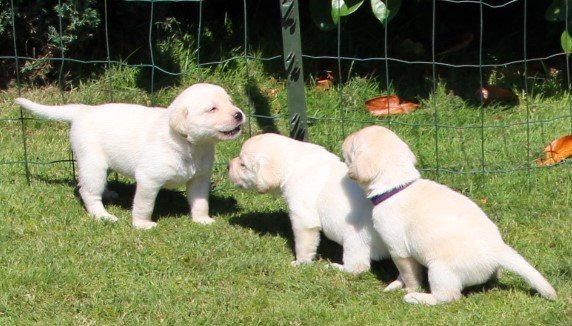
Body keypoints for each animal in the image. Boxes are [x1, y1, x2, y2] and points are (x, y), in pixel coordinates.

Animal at [15, 83, 244, 229]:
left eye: (230, 102)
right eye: (212, 109)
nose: (239, 114)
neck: (191, 146)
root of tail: (83, 111)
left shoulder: (200, 179)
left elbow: (200, 201)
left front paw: (202, 219)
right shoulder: (149, 180)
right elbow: (144, 204)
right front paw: (142, 224)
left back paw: (108, 194)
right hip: (92, 162)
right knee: (88, 192)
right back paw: (103, 216)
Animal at [228, 134, 388, 274]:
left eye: (243, 165)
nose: (227, 166)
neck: (293, 162)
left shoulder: (303, 220)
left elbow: (303, 245)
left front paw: (300, 263)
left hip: (355, 240)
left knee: (358, 268)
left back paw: (336, 267)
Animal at [342, 125, 556, 306]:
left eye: (353, 143)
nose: (344, 138)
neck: (397, 186)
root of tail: (498, 250)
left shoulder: (398, 249)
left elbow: (409, 274)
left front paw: (406, 288)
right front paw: (396, 284)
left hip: (440, 270)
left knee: (448, 297)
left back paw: (417, 298)